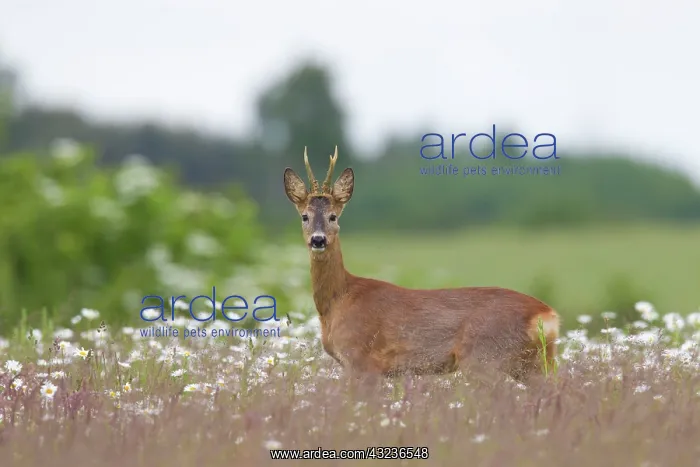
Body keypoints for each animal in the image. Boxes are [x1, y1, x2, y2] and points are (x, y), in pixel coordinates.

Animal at [283, 146, 560, 381]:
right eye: (305, 216)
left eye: (333, 216)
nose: (318, 240)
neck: (339, 300)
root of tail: (547, 315)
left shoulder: (361, 360)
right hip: (533, 363)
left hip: (485, 359)